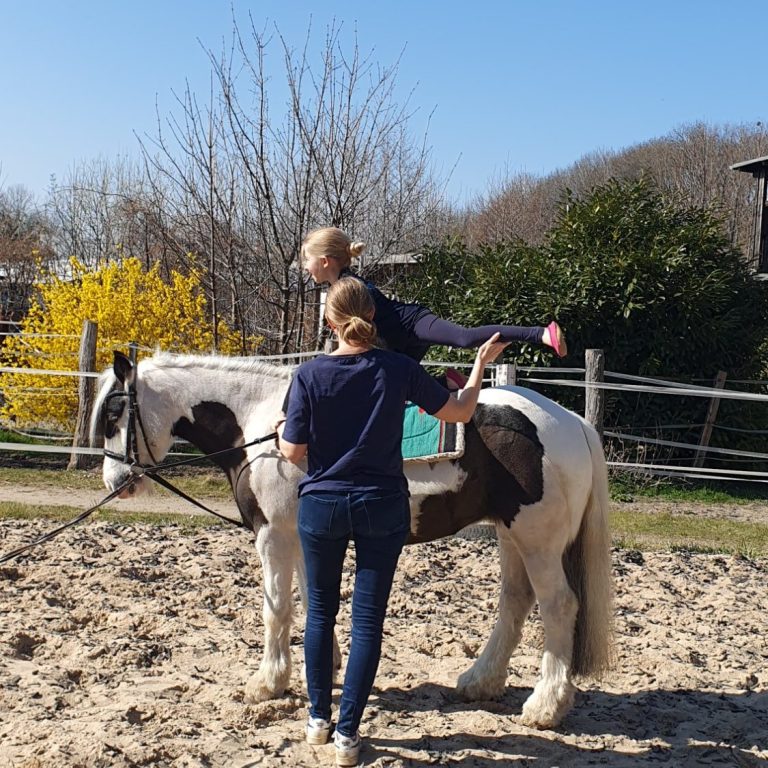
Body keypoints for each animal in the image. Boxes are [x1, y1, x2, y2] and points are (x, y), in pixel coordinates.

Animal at [91, 350, 613, 729]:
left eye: (116, 411)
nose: (115, 480)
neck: (266, 428)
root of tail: (571, 421)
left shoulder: (273, 536)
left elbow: (277, 608)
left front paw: (268, 683)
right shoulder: (305, 536)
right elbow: (310, 600)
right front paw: (321, 666)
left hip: (538, 542)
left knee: (558, 606)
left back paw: (545, 706)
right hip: (511, 536)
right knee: (515, 601)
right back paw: (481, 681)